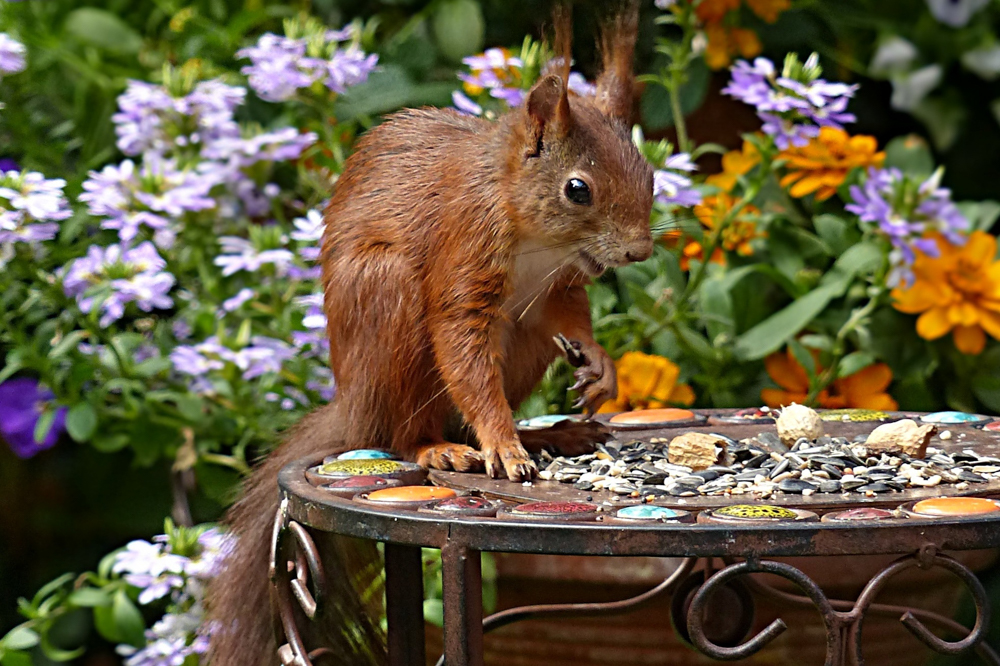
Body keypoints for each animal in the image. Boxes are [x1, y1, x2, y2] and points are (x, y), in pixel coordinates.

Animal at [207, 6, 652, 664]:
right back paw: (439, 447)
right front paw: (501, 443)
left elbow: (569, 317)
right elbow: (460, 343)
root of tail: (354, 405)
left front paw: (598, 366)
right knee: (401, 429)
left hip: (521, 342)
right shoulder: (464, 248)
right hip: (386, 305)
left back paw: (547, 434)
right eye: (578, 189)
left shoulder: (558, 286)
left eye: (649, 172)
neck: (538, 240)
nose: (639, 250)